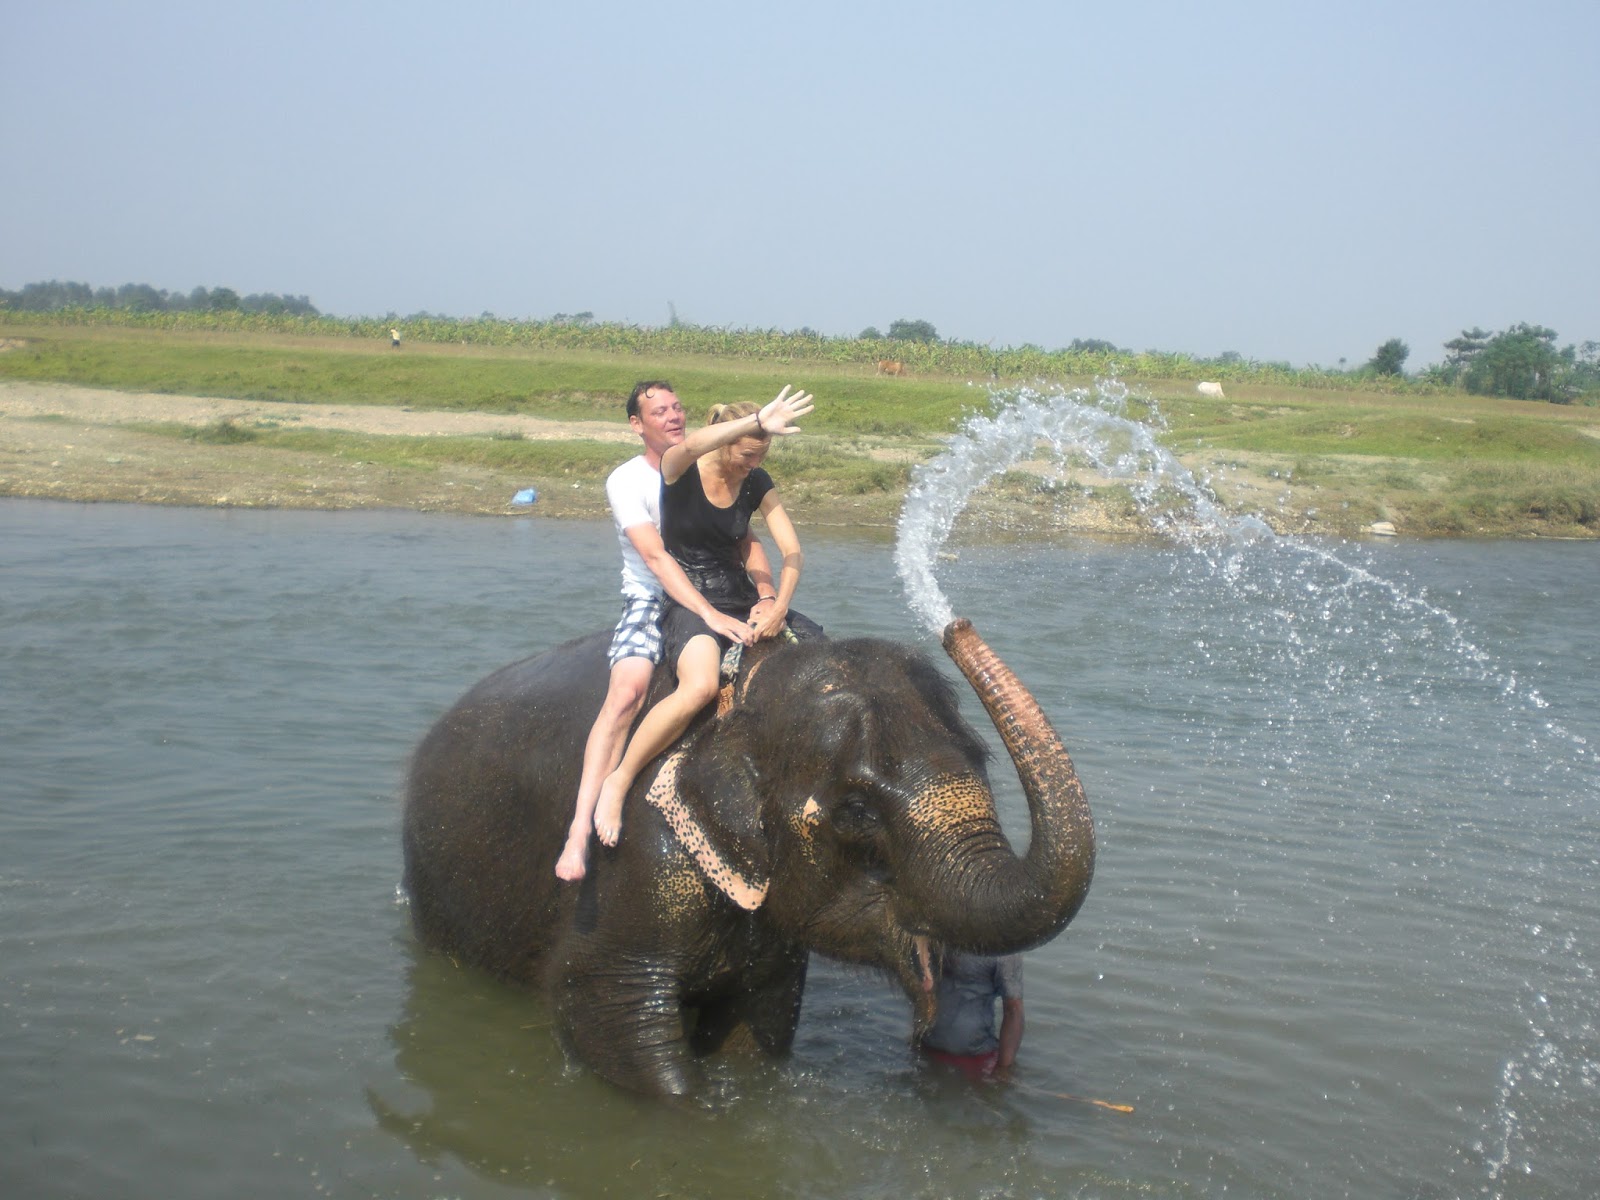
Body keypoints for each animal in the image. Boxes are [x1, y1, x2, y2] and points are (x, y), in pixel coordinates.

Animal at [401, 617, 1095, 1097]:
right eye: (858, 810)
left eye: (981, 761)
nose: (957, 627)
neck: (753, 691)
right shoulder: (632, 858)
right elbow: (599, 1006)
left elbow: (756, 1031)